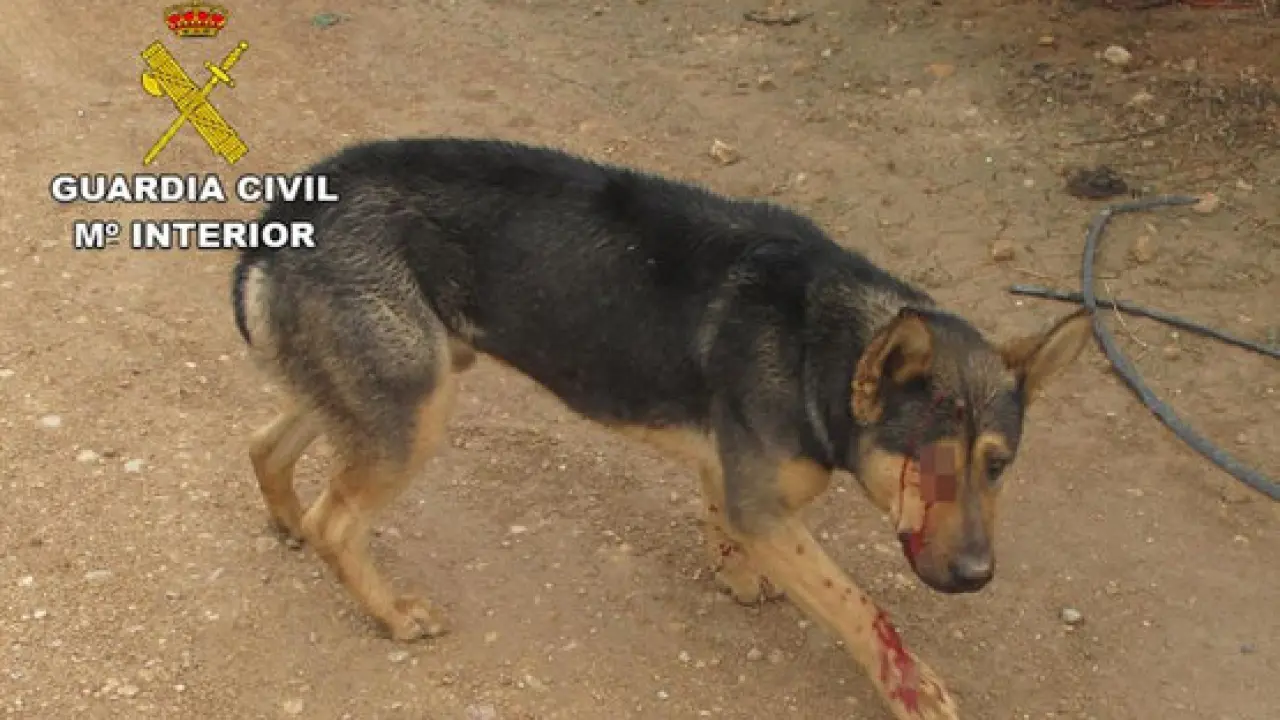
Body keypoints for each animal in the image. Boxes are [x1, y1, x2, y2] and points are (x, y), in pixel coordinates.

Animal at [231, 137, 1092, 720]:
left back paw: (287, 522)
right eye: (926, 461)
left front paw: (738, 576)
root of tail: (288, 209)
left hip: (388, 383)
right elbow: (857, 603)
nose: (978, 576)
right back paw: (391, 612)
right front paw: (910, 687)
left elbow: (726, 522)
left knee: (267, 445)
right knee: (338, 519)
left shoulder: (734, 473)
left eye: (998, 465)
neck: (821, 343)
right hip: (415, 405)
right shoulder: (765, 503)